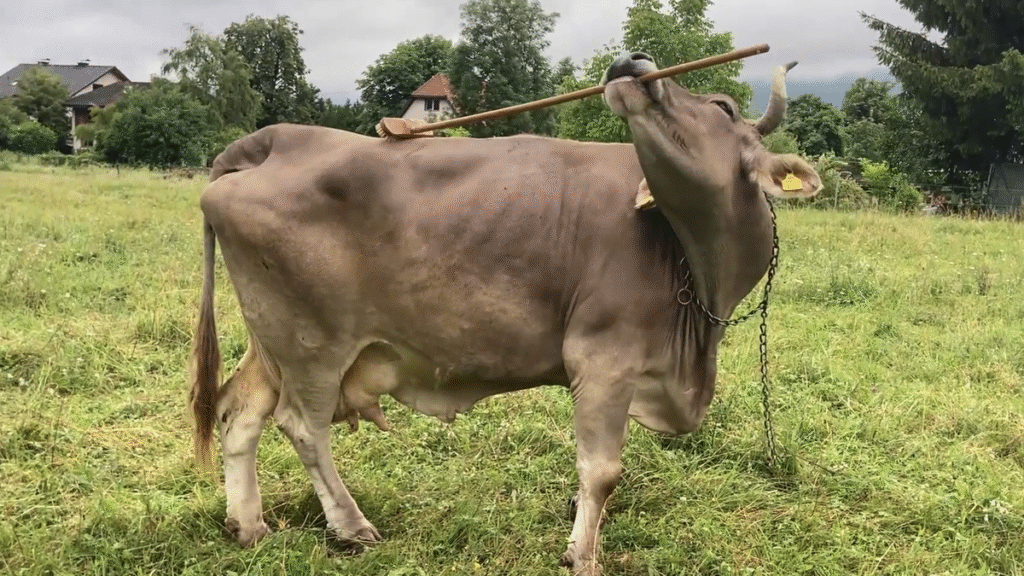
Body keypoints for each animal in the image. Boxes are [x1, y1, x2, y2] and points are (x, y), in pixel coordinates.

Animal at [190, 52, 821, 576]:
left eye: (722, 108)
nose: (632, 60)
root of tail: (278, 138)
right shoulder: (604, 359)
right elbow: (601, 471)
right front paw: (582, 556)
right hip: (311, 343)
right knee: (302, 426)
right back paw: (350, 526)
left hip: (270, 339)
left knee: (239, 411)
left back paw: (248, 525)